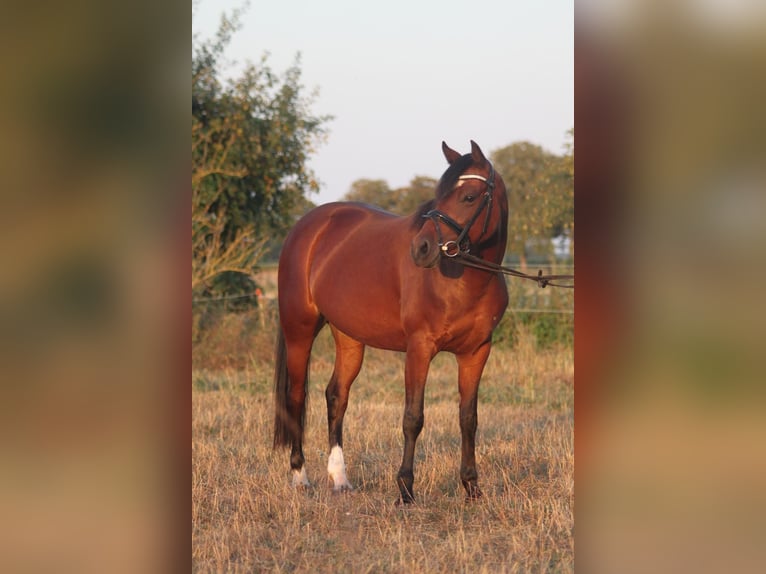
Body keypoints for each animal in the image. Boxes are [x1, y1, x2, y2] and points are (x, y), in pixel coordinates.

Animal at [273, 141, 509, 504]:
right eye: (439, 195)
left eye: (469, 196)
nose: (422, 248)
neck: (463, 281)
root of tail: (308, 226)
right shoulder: (419, 349)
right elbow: (413, 417)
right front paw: (405, 489)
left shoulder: (477, 352)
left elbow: (468, 418)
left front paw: (472, 487)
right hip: (299, 330)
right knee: (296, 397)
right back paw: (300, 476)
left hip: (349, 337)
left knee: (336, 396)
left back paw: (339, 478)